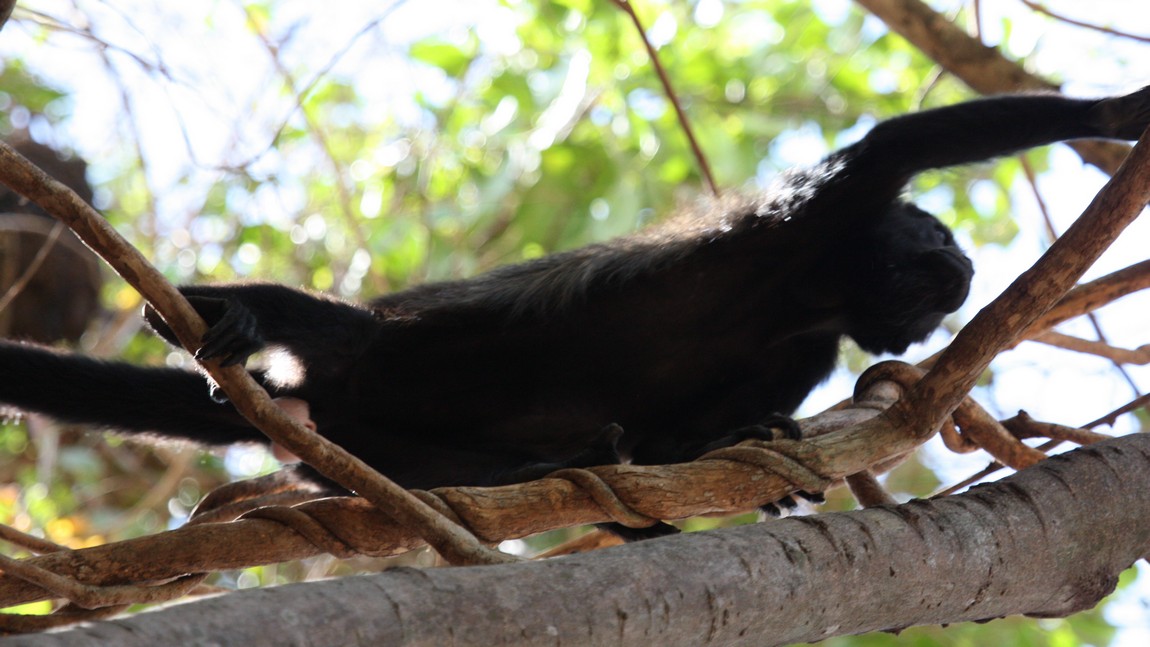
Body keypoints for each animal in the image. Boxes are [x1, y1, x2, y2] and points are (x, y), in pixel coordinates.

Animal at [0, 88, 1148, 510]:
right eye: (939, 242)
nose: (959, 280)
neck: (808, 281)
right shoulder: (816, 211)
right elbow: (903, 141)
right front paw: (1116, 109)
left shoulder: (811, 328)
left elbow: (714, 411)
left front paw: (735, 441)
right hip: (381, 353)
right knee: (320, 324)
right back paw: (225, 311)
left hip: (379, 431)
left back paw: (521, 469)